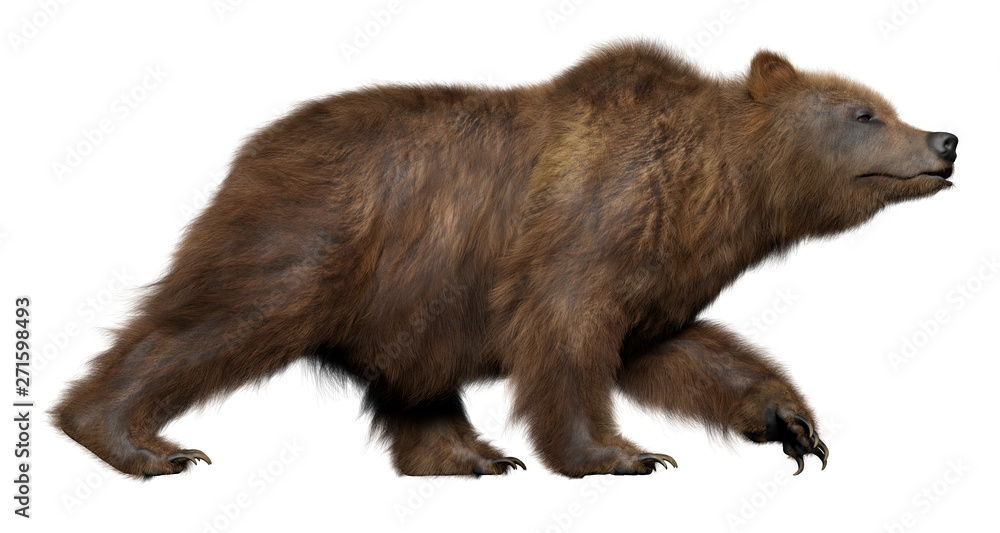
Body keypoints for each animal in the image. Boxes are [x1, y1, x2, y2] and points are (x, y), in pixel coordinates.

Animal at [53, 40, 958, 478]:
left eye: (885, 104)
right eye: (864, 112)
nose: (945, 139)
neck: (712, 194)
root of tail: (253, 146)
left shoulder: (658, 272)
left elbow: (674, 349)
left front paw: (789, 421)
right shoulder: (589, 227)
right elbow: (566, 338)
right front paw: (621, 453)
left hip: (413, 296)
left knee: (416, 382)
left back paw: (470, 455)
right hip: (315, 235)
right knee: (222, 318)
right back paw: (138, 441)